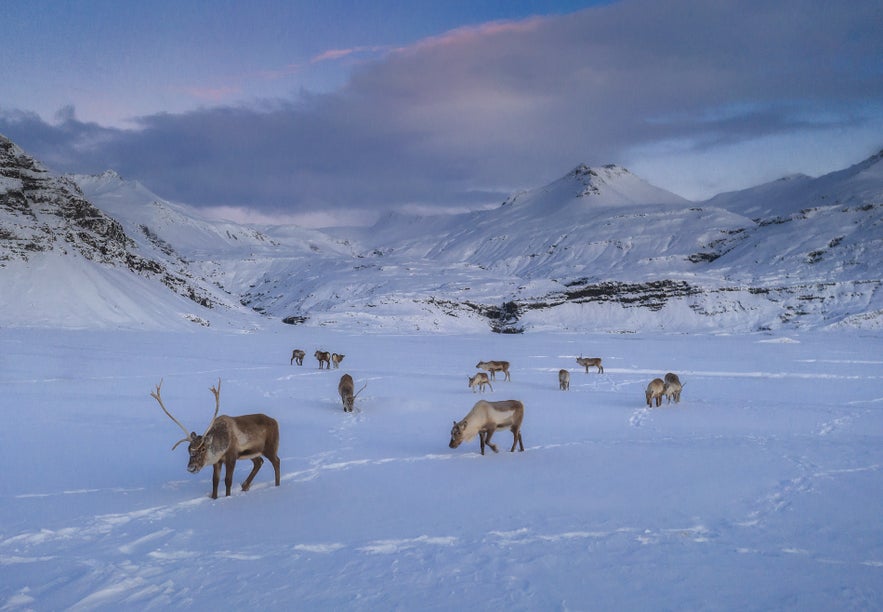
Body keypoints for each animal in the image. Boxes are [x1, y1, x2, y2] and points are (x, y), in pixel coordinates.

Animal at [150, 378, 281, 499]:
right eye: (189, 449)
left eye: (203, 448)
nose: (191, 467)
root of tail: (275, 421)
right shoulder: (218, 461)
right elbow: (215, 481)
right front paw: (214, 498)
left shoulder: (231, 457)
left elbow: (228, 480)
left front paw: (227, 497)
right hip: (252, 453)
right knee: (259, 462)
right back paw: (245, 486)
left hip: (270, 447)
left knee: (276, 461)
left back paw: (277, 485)